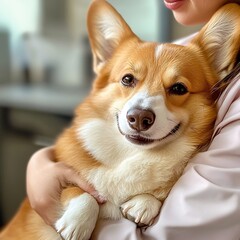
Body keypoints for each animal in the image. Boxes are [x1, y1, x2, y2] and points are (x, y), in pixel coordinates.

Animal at [0, 1, 240, 240]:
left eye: (179, 88)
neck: (130, 154)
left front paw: (144, 203)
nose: (139, 117)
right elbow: (80, 191)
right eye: (127, 79)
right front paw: (77, 222)